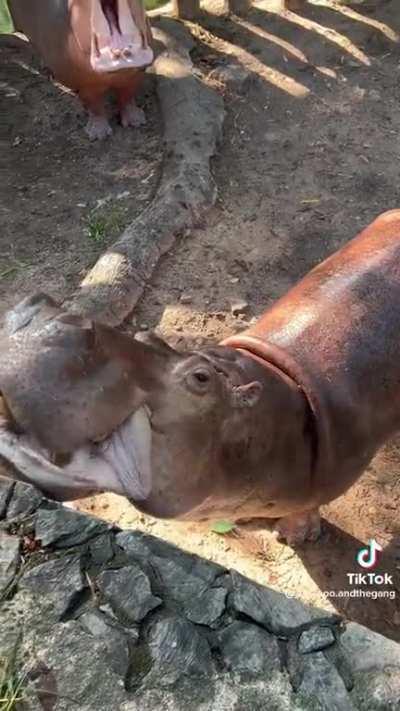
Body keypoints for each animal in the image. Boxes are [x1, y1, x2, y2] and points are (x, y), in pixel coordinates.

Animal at [8, 0, 154, 139]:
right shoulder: (85, 84)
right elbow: (94, 105)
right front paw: (98, 134)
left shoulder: (134, 76)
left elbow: (127, 96)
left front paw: (137, 121)